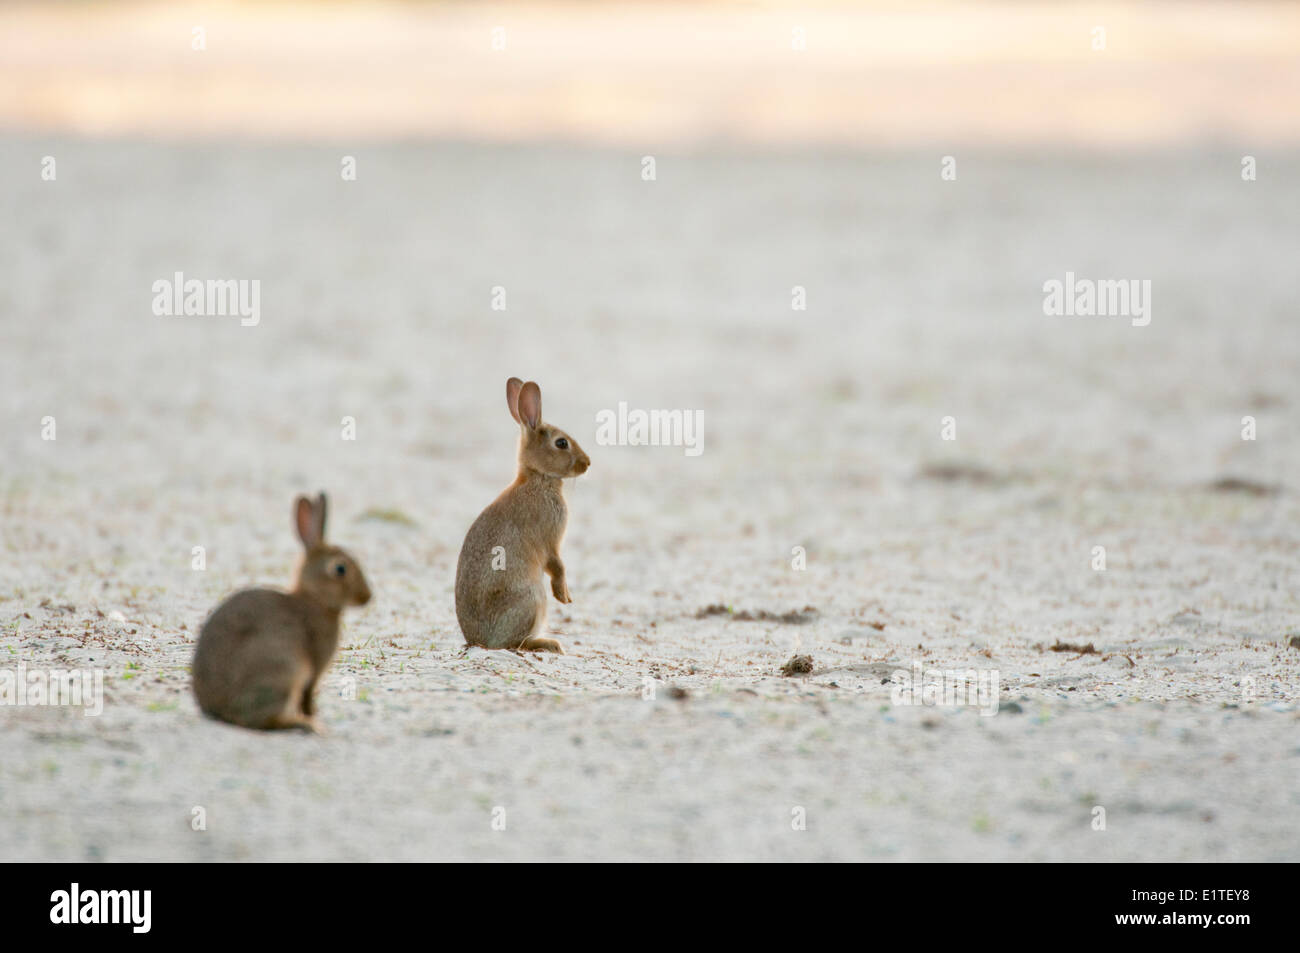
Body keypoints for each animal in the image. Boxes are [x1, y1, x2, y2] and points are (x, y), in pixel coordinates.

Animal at [192, 493, 371, 731]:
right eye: (340, 569)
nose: (367, 597)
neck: (314, 599)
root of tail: (220, 711)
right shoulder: (313, 669)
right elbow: (308, 697)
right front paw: (314, 716)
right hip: (285, 669)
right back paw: (308, 725)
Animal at [456, 377, 590, 653]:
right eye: (561, 443)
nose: (587, 463)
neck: (539, 478)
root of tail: (478, 641)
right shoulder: (549, 540)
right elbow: (557, 566)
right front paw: (564, 596)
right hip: (532, 598)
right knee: (516, 642)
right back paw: (552, 644)